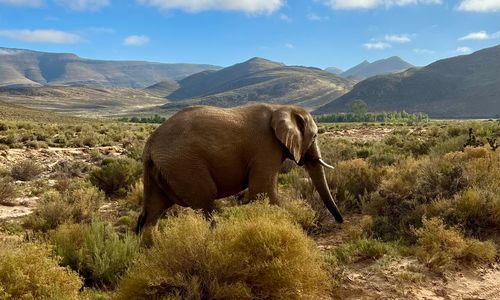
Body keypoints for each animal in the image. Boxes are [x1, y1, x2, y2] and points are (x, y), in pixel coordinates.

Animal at [137, 103, 344, 241]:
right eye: (315, 136)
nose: (340, 222)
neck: (280, 108)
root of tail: (149, 145)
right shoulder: (265, 148)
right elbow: (264, 192)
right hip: (184, 165)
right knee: (205, 203)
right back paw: (214, 240)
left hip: (161, 169)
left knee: (153, 211)